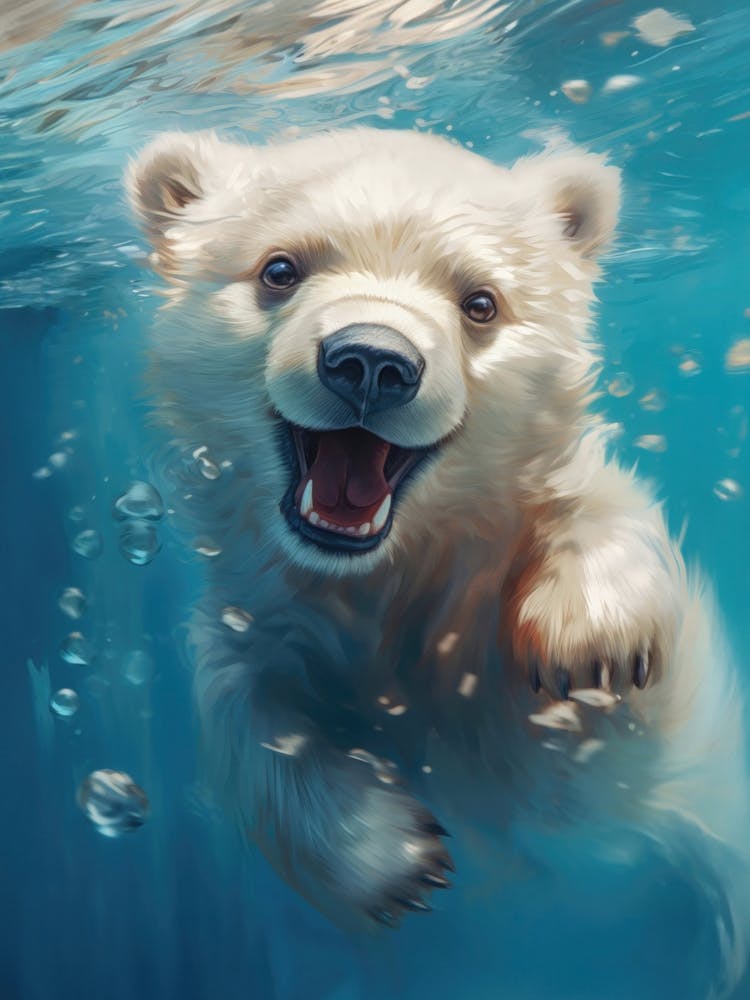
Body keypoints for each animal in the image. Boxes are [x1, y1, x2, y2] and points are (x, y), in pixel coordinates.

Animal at [127, 127, 750, 995]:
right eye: (279, 268)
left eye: (480, 301)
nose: (370, 362)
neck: (389, 577)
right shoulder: (260, 604)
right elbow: (238, 703)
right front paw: (392, 856)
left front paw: (589, 639)